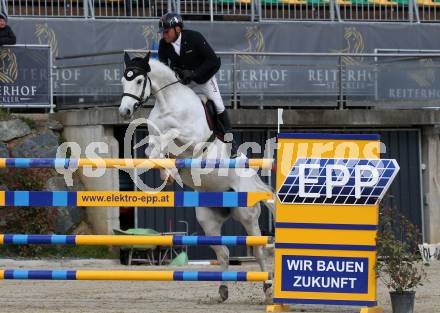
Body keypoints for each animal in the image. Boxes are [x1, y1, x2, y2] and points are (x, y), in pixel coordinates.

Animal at [118, 53, 274, 302]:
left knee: (258, 250)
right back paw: (222, 291)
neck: (168, 103)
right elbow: (151, 151)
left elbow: (169, 136)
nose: (124, 112)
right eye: (124, 81)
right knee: (224, 253)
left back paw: (268, 289)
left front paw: (170, 170)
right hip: (207, 219)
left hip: (247, 215)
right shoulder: (156, 138)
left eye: (139, 80)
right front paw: (168, 172)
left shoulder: (194, 140)